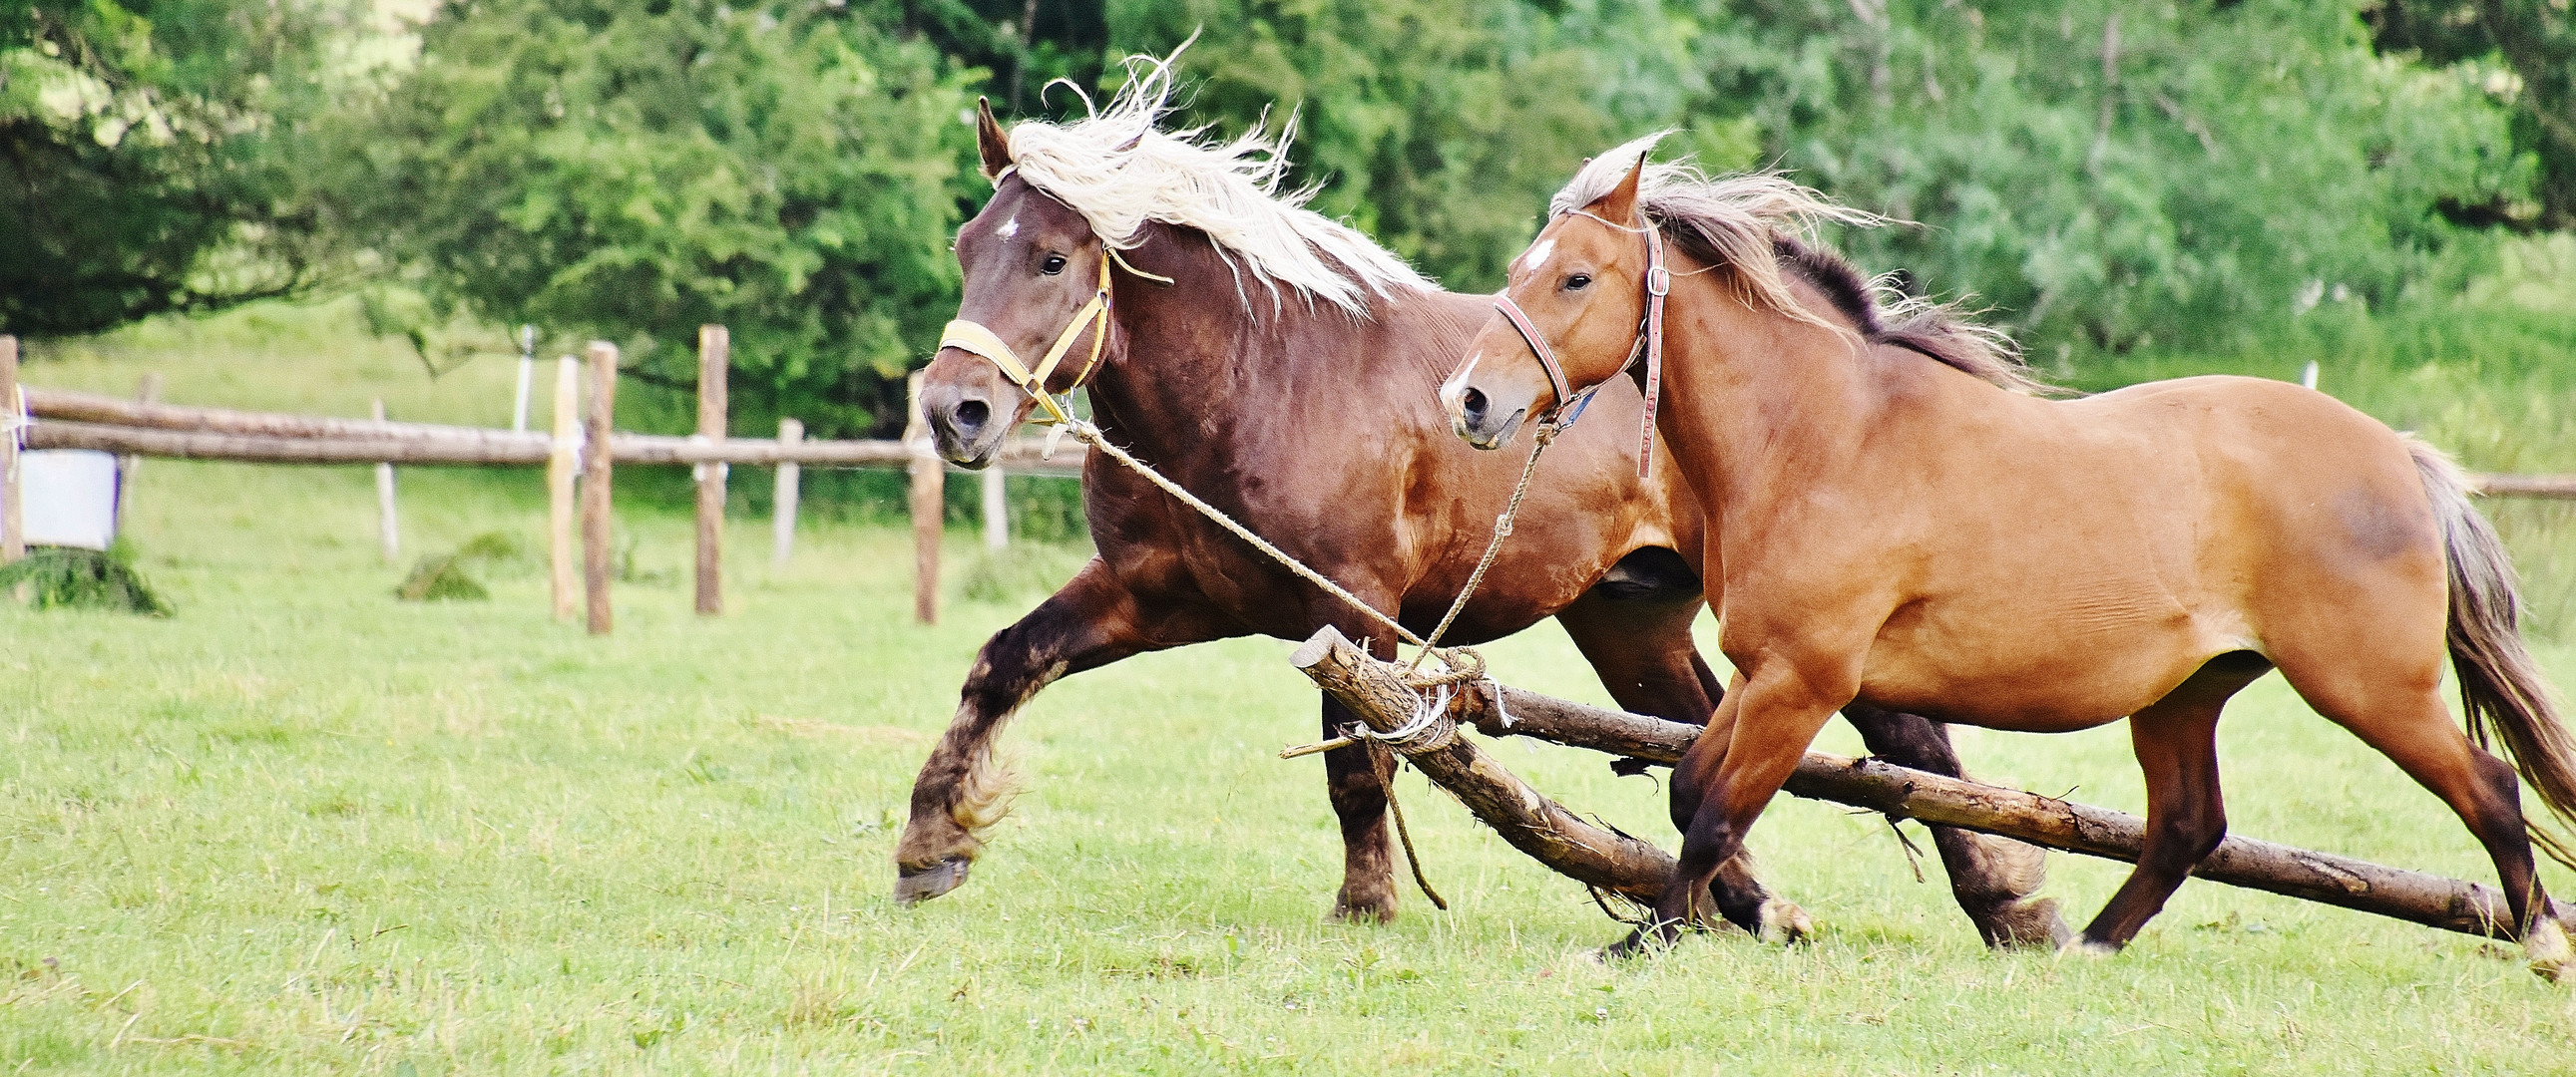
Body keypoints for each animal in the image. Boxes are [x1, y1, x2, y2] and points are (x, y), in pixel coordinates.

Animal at [896, 63, 2060, 947]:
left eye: (1052, 256)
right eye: (965, 247)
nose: (954, 408)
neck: (1260, 382)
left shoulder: (1353, 607)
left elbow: (1357, 764)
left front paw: (1366, 904)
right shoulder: (1157, 594)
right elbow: (1003, 663)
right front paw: (929, 844)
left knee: (1906, 742)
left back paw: (2007, 905)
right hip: (1628, 618)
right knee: (1701, 740)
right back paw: (1745, 907)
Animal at [1442, 136, 2576, 973]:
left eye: (1574, 277)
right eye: (1517, 273)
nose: (1469, 400)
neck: (1826, 437)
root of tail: (2399, 456)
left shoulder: (1802, 680)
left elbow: (1717, 811)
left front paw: (1655, 937)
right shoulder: (1765, 672)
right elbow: (1688, 790)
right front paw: (1692, 925)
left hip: (2368, 686)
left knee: (2488, 788)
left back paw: (2539, 943)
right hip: (2185, 695)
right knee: (2187, 826)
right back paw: (2084, 949)